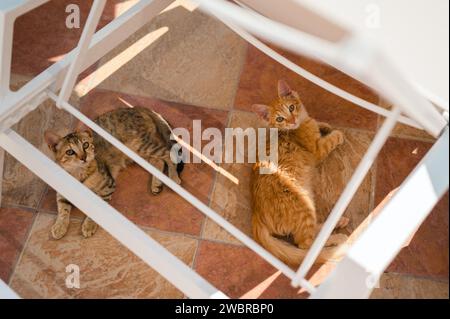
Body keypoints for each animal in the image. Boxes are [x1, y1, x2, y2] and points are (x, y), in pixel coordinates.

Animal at [45, 107, 183, 240]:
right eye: (69, 152)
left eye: (86, 145)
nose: (84, 157)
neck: (78, 173)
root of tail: (136, 107)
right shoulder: (61, 189)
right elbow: (62, 208)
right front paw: (59, 226)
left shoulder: (108, 184)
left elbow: (96, 206)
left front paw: (89, 225)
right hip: (138, 153)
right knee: (159, 161)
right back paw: (156, 184)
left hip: (141, 146)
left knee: (169, 154)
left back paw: (173, 177)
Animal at [251, 80, 350, 268]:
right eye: (280, 119)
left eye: (291, 107)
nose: (292, 120)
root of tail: (256, 215)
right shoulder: (318, 150)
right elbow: (330, 140)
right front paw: (337, 134)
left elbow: (319, 125)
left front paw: (324, 126)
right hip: (304, 205)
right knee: (306, 245)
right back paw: (337, 240)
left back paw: (338, 223)